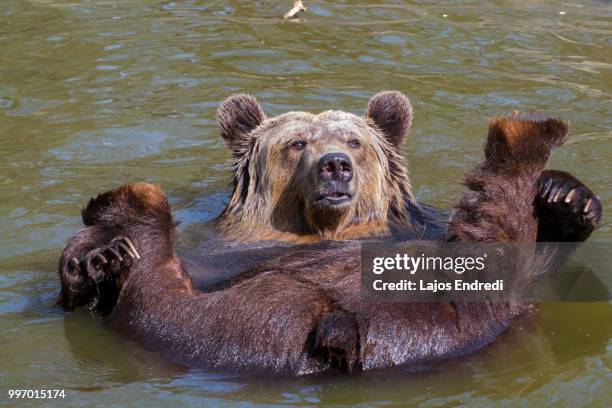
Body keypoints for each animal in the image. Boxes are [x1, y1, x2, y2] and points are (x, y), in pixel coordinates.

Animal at [57, 93, 604, 376]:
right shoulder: (218, 251)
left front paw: (567, 197)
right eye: (297, 143)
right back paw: (118, 232)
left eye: (354, 140)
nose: (335, 165)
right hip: (215, 323)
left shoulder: (419, 227)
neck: (322, 231)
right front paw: (93, 260)